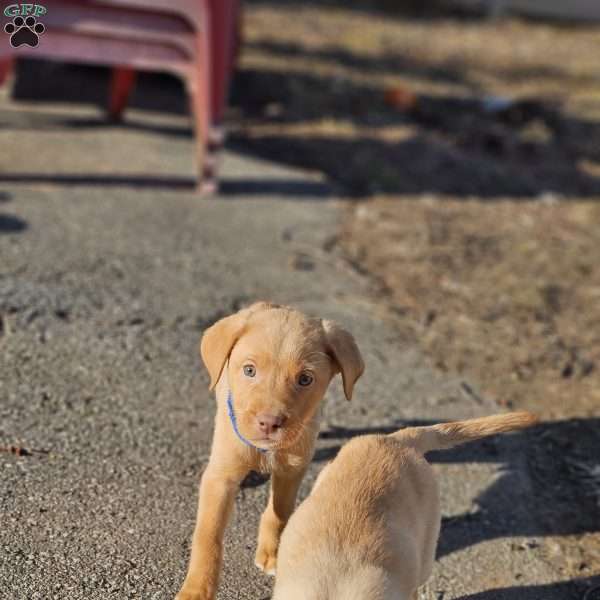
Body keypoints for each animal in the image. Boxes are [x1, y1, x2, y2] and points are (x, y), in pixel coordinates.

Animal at [176, 304, 364, 600]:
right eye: (249, 370)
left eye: (305, 379)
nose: (269, 422)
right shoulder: (220, 476)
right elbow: (208, 535)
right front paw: (197, 590)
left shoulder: (292, 469)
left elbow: (280, 512)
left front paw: (272, 552)